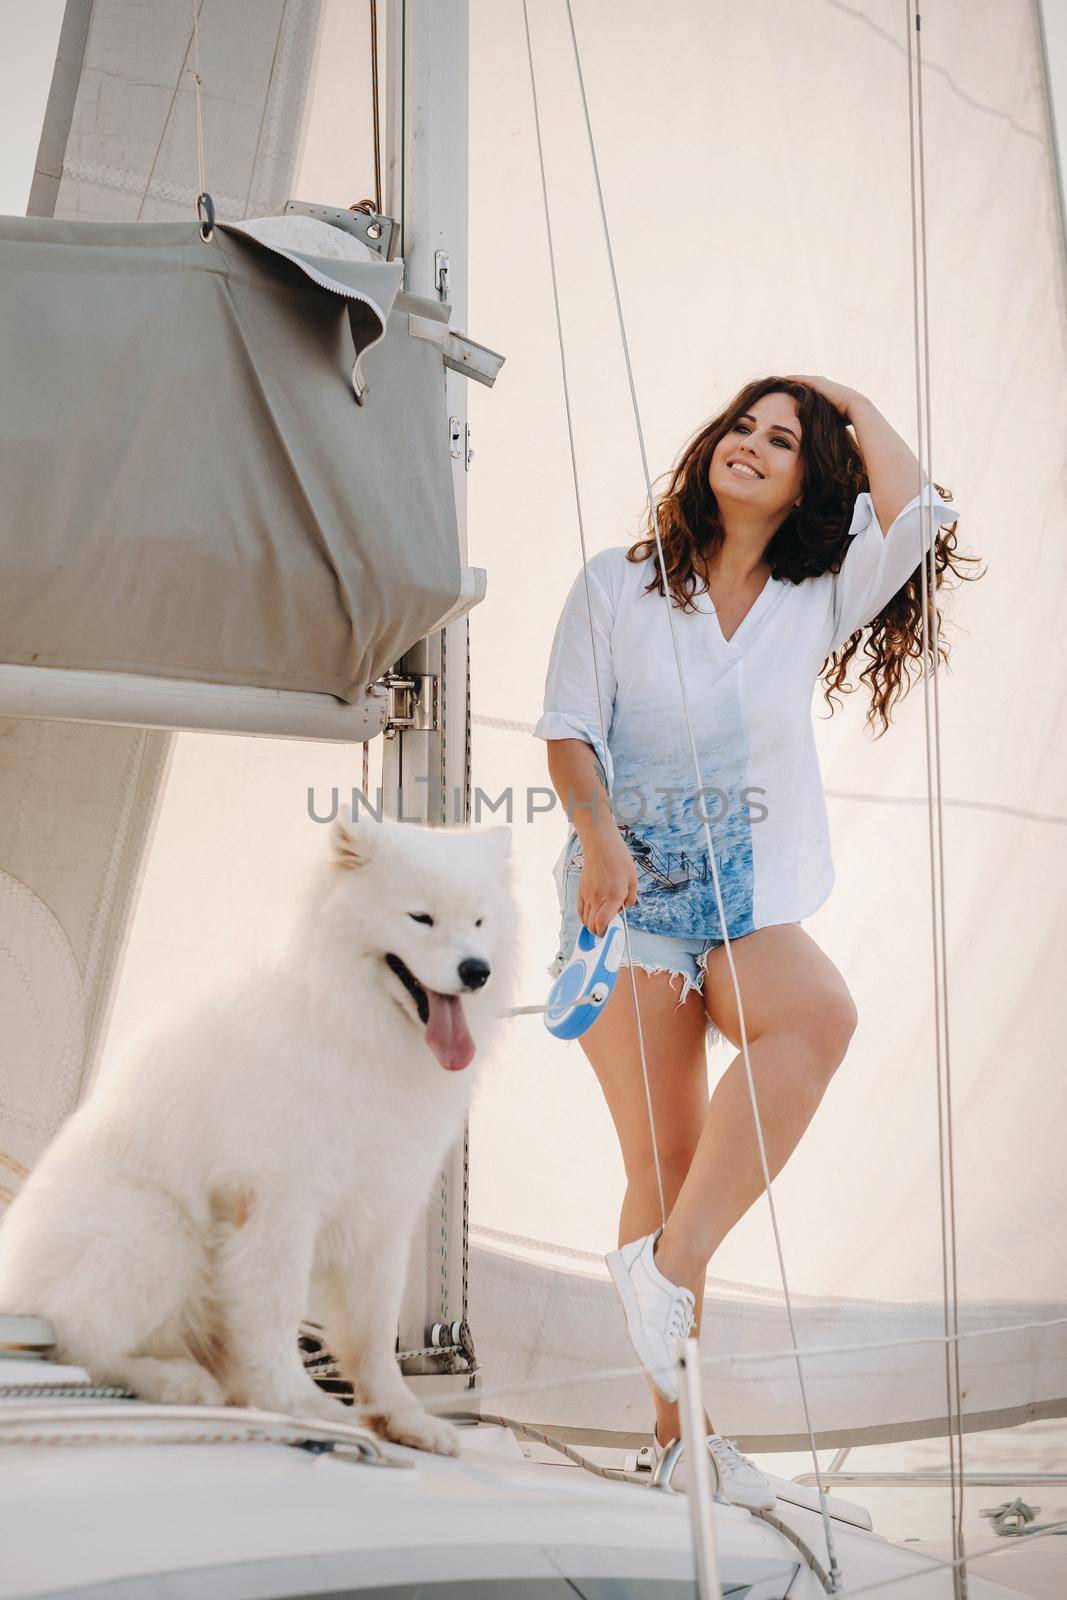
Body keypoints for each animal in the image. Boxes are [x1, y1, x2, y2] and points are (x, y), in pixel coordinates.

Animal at [0, 819, 518, 1459]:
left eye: (480, 922)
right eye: (420, 917)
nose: (476, 970)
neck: (354, 1030)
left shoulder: (382, 1213)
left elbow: (374, 1338)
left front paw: (403, 1420)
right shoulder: (276, 1200)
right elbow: (274, 1311)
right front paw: (298, 1405)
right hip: (156, 1233)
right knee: (77, 1344)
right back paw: (180, 1383)